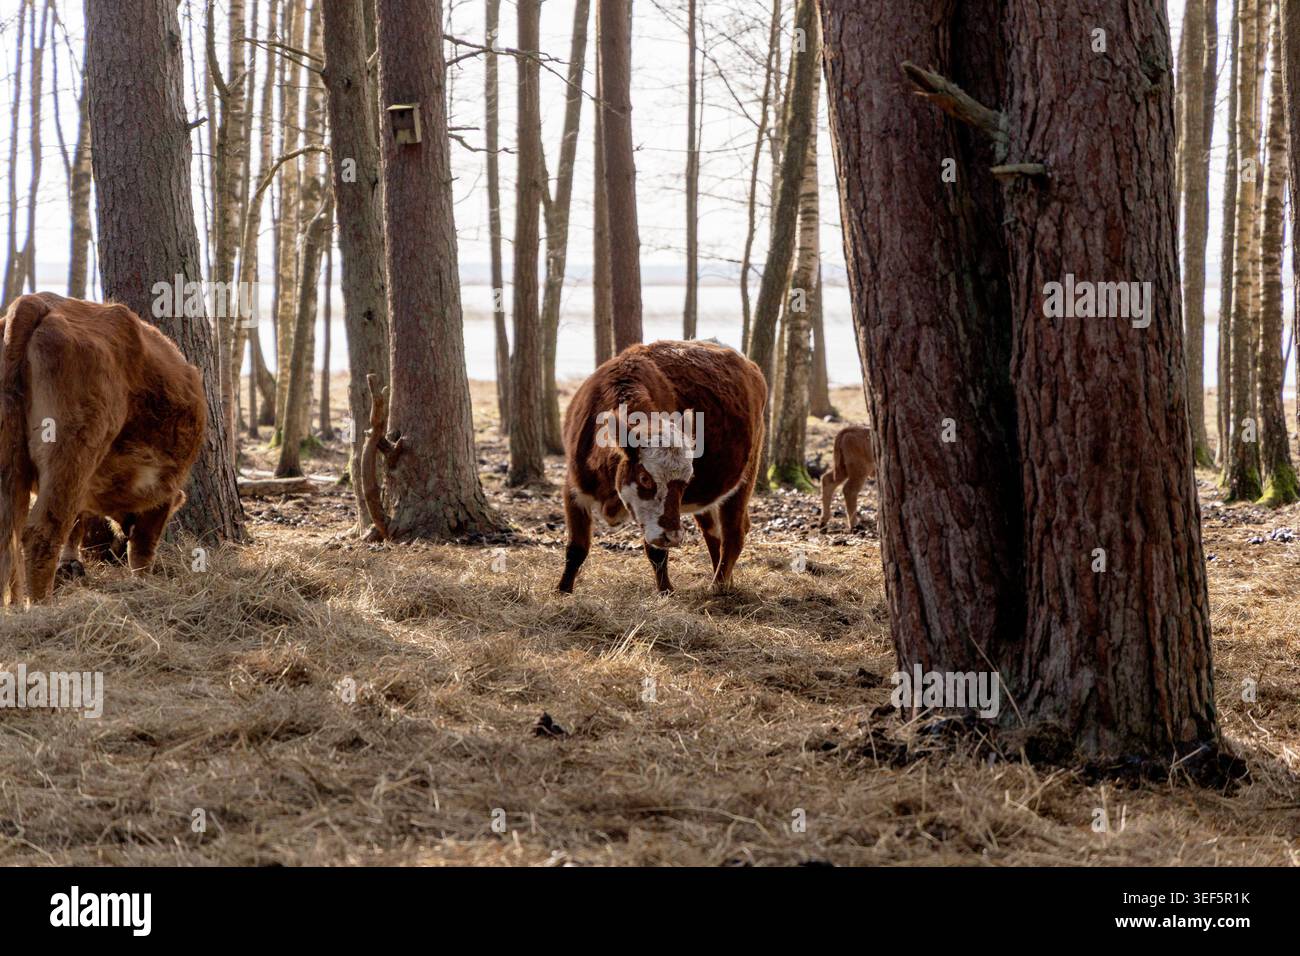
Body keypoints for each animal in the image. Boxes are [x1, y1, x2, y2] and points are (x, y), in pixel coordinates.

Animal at [0, 293, 206, 605]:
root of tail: (37, 300)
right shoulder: (160, 496)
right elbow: (143, 547)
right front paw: (142, 582)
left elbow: (77, 522)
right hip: (70, 454)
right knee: (41, 533)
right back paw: (41, 607)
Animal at [557, 340, 767, 594]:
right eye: (645, 478)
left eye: (686, 481)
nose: (674, 536)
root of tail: (750, 365)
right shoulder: (573, 489)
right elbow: (576, 548)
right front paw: (563, 590)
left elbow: (656, 551)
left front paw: (665, 590)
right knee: (713, 533)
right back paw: (726, 580)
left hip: (744, 479)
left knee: (734, 532)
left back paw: (718, 585)